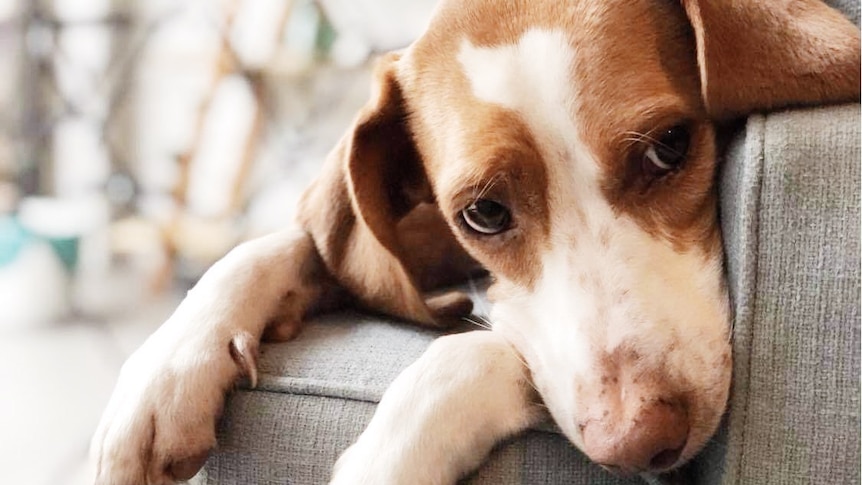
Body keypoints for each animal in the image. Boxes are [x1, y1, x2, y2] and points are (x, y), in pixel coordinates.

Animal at [91, 0, 860, 482]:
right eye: (485, 213)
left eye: (670, 147)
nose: (640, 446)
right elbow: (291, 243)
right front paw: (164, 374)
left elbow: (477, 348)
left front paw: (390, 455)